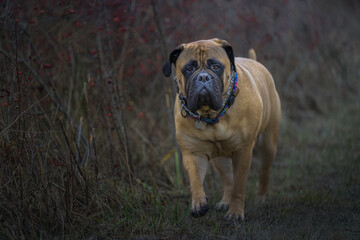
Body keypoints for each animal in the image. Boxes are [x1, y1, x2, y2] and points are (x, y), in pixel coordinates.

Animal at [161, 38, 282, 220]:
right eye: (189, 68)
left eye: (216, 66)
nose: (203, 77)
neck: (210, 116)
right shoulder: (193, 152)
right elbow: (195, 179)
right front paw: (198, 203)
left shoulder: (243, 150)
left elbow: (239, 185)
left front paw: (235, 213)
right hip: (220, 159)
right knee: (228, 179)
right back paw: (226, 201)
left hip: (268, 143)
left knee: (264, 171)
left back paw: (262, 197)